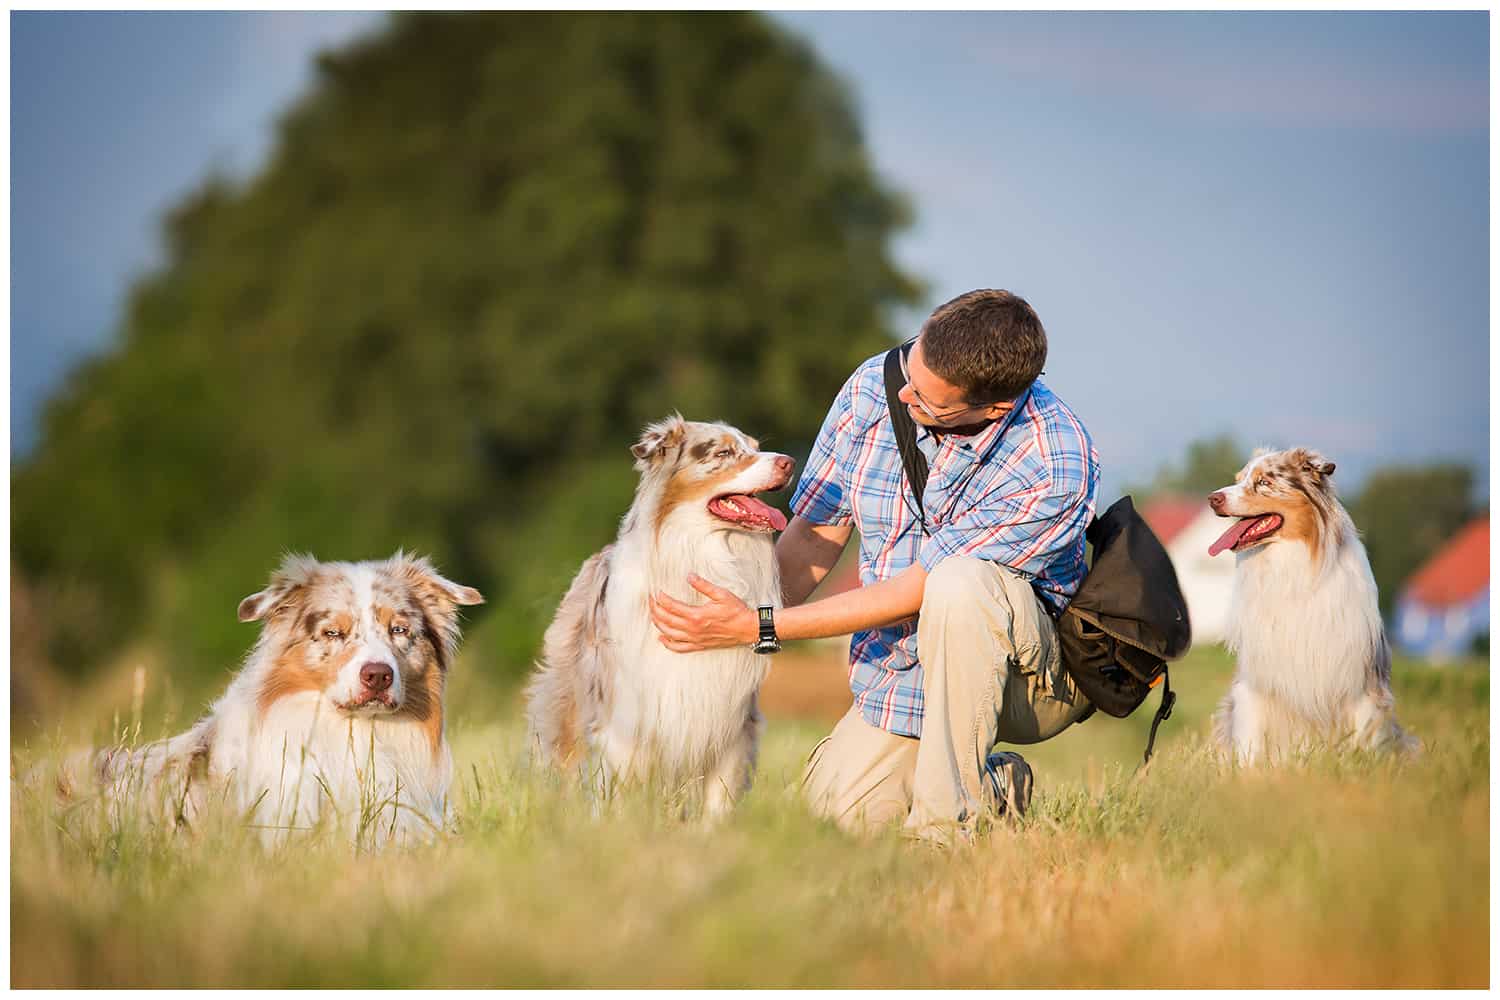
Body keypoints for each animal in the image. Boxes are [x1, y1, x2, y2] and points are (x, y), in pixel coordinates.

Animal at [525, 416, 792, 821]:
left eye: (756, 446)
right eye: (724, 452)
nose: (789, 463)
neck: (702, 556)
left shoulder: (731, 724)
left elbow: (718, 803)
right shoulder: (624, 722)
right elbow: (617, 796)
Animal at [1206, 446, 1416, 767]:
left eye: (1264, 482)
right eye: (1238, 479)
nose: (1212, 498)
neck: (1291, 565)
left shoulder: (1360, 682)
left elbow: (1364, 739)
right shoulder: (1254, 682)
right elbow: (1249, 745)